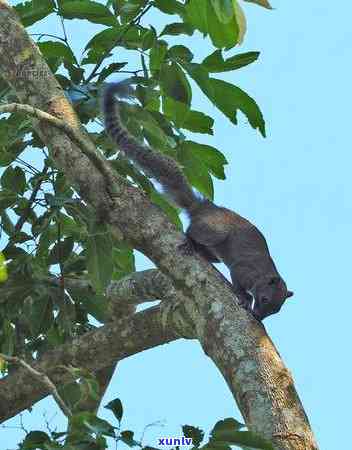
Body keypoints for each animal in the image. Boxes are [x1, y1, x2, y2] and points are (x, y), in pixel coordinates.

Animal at [101, 81, 292, 320]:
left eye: (276, 310)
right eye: (264, 299)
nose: (258, 317)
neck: (263, 274)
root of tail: (204, 207)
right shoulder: (243, 270)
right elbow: (238, 280)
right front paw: (245, 299)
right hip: (214, 230)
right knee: (194, 232)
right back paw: (189, 243)